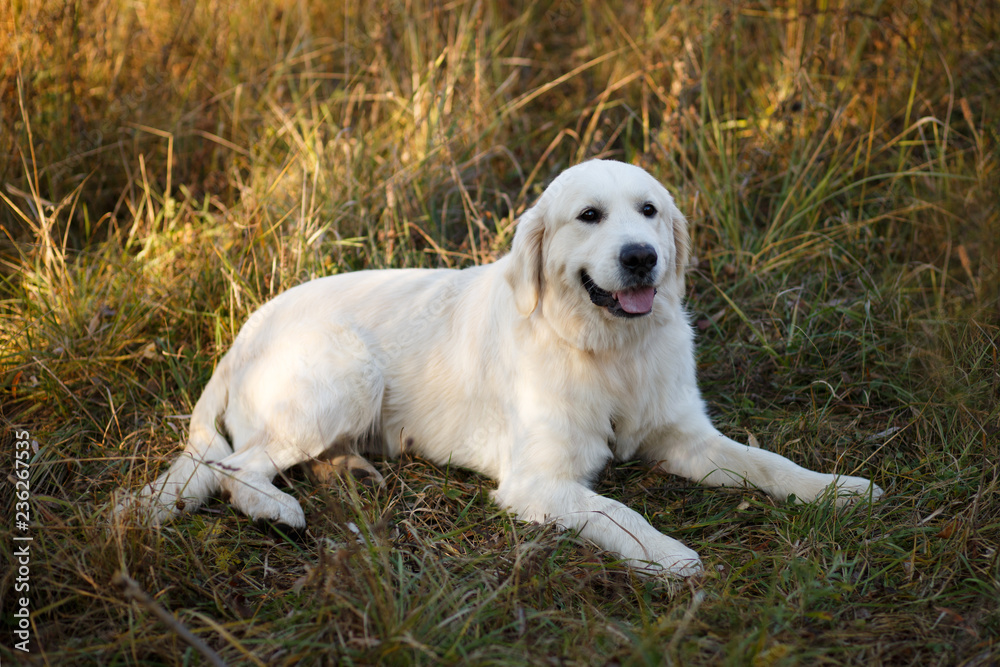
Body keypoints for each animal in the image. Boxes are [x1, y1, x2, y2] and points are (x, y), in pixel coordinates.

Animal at [119, 159, 884, 576]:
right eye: (589, 215)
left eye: (648, 211)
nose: (641, 256)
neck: (608, 349)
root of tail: (243, 332)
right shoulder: (538, 480)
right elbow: (618, 509)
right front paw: (667, 556)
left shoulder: (685, 437)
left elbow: (768, 463)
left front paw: (836, 489)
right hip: (347, 368)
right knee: (236, 467)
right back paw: (278, 506)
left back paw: (353, 471)